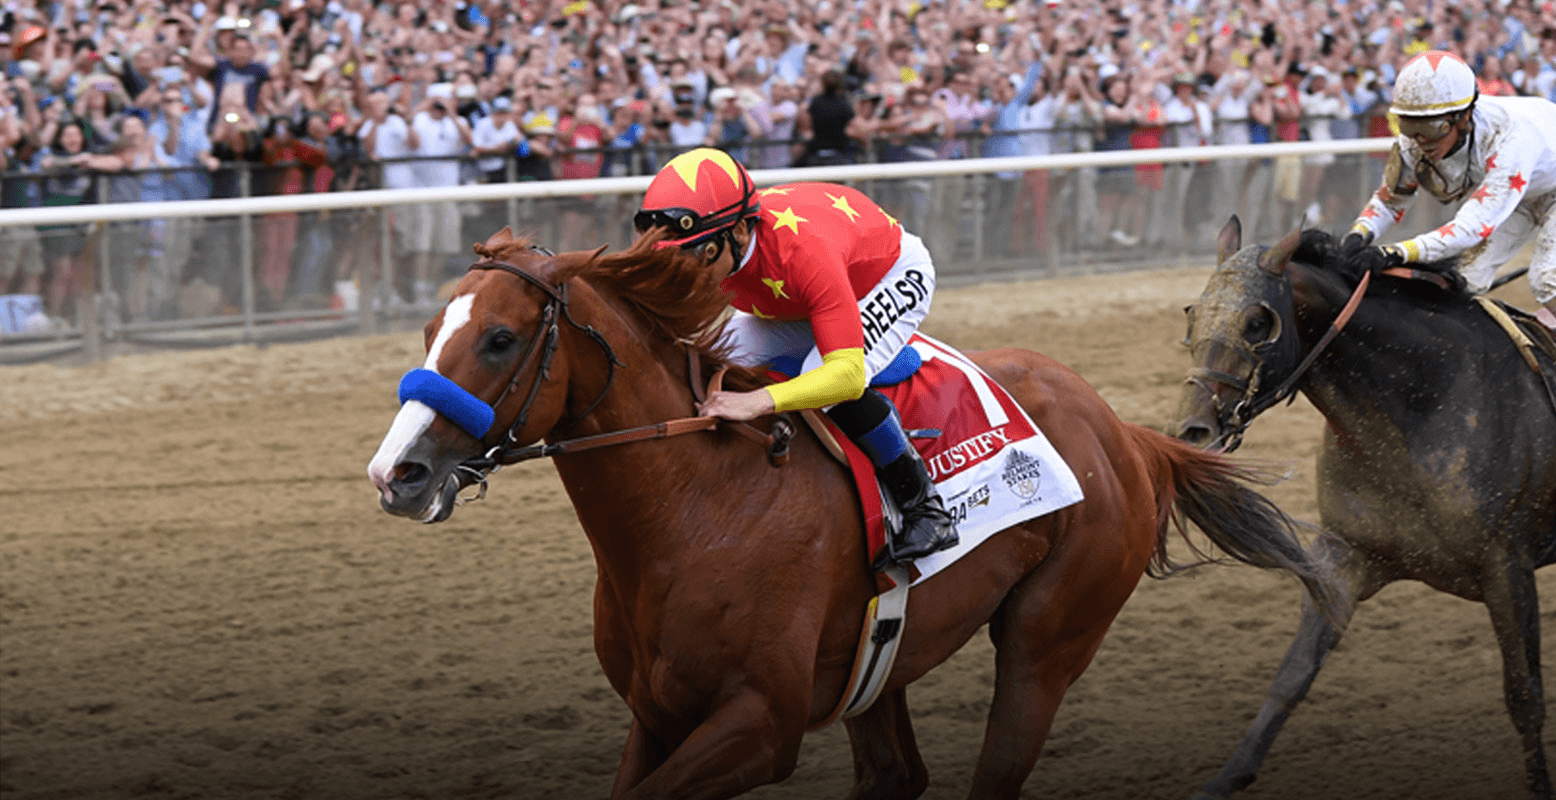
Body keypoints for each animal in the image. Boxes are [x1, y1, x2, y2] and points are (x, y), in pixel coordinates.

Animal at [367, 225, 1350, 796]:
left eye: (500, 338)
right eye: (429, 332)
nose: (396, 473)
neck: (696, 509)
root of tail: (1124, 431)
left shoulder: (758, 725)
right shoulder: (656, 715)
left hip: (1049, 638)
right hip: (882, 660)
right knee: (894, 775)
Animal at [1170, 217, 1549, 796]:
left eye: (1258, 323)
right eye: (1193, 313)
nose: (1191, 430)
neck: (1420, 399)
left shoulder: (1507, 566)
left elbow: (1525, 696)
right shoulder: (1347, 557)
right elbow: (1292, 675)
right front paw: (1225, 778)